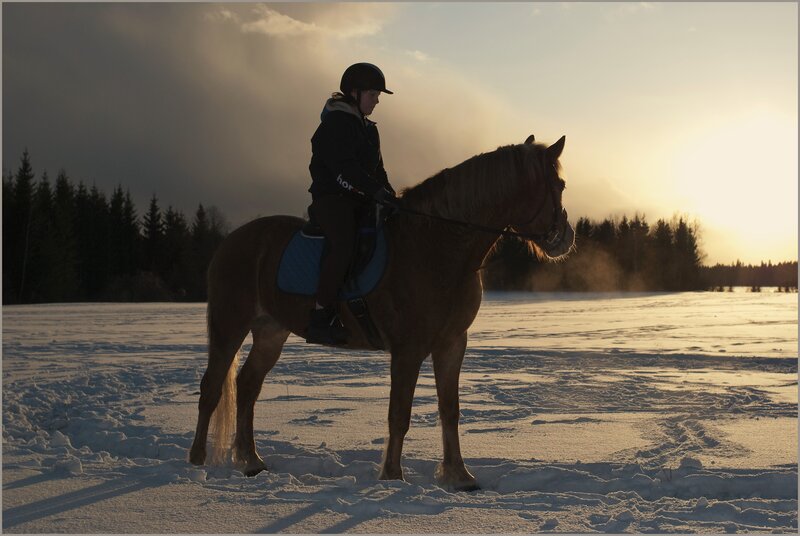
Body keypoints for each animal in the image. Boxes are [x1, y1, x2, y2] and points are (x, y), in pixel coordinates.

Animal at [189, 134, 575, 491]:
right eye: (558, 185)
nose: (566, 238)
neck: (437, 245)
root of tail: (230, 241)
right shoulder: (408, 349)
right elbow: (399, 414)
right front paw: (392, 477)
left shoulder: (451, 344)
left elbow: (449, 410)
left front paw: (459, 477)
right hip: (229, 324)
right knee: (212, 387)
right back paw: (196, 460)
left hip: (270, 331)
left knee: (247, 386)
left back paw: (251, 460)